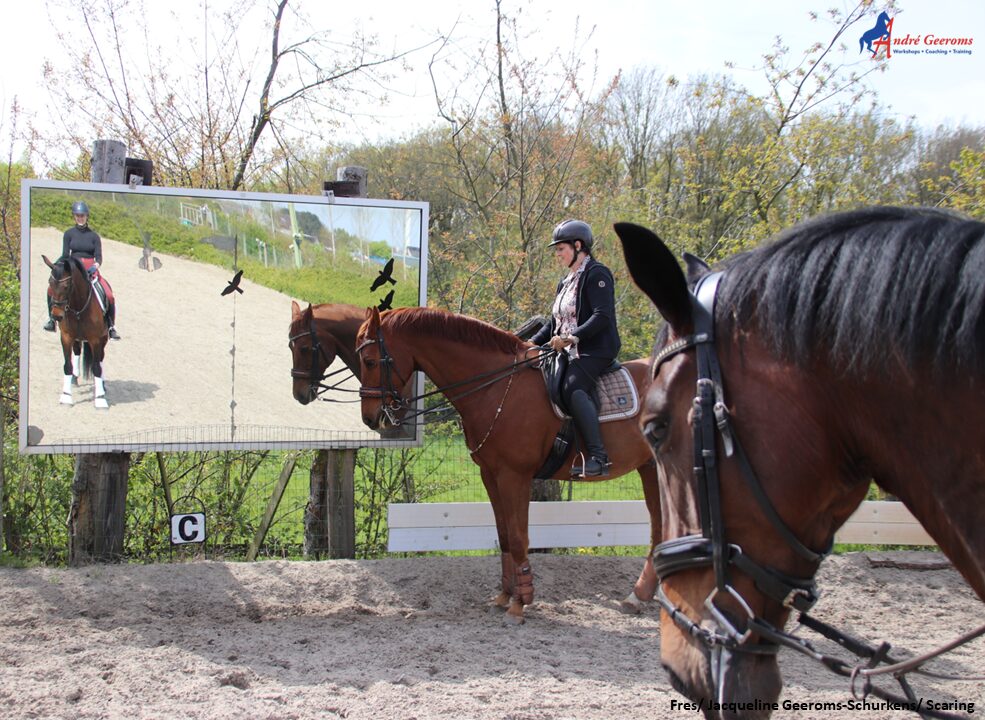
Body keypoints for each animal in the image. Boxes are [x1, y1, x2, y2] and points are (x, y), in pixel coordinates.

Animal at [43, 256, 108, 408]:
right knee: (77, 351)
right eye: (50, 283)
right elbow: (67, 365)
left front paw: (100, 399)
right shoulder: (66, 337)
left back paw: (102, 385)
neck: (78, 307)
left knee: (100, 359)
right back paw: (74, 378)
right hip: (77, 339)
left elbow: (97, 367)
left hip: (103, 339)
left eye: (66, 286)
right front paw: (66, 396)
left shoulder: (95, 340)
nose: (56, 316)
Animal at [354, 306, 660, 620]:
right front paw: (505, 595)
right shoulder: (490, 474)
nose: (370, 418)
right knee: (660, 530)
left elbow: (517, 537)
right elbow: (503, 535)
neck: (498, 387)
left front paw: (521, 601)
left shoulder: (515, 476)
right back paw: (639, 596)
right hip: (651, 468)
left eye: (369, 361)